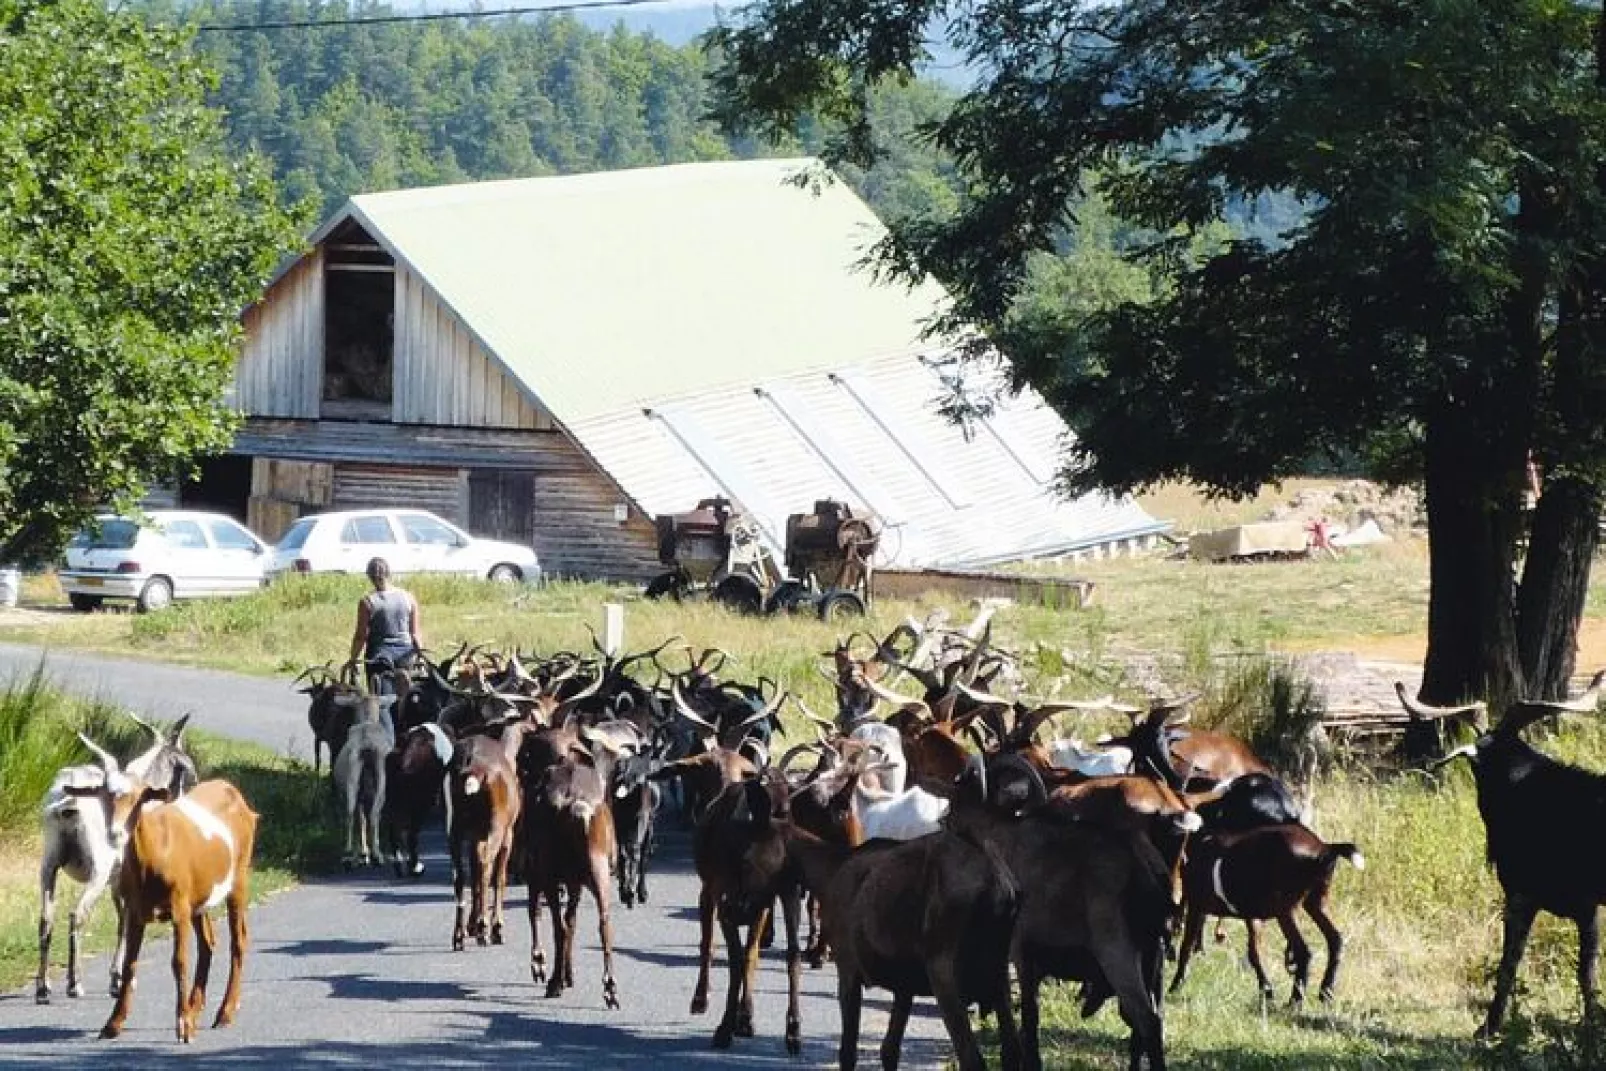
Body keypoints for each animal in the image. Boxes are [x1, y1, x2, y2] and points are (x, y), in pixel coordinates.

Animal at [1406, 671, 1606, 1040]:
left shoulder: (1521, 896)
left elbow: (1509, 963)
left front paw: (1488, 1027)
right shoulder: (1587, 909)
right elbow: (1587, 972)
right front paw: (1591, 1026)